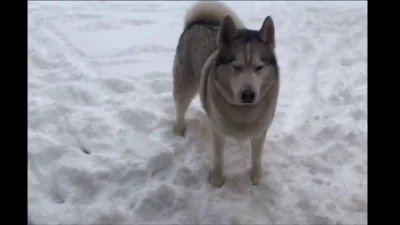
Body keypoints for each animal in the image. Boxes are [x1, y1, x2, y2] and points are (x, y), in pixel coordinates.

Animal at [173, 1, 282, 188]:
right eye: (236, 66)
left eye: (259, 67)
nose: (248, 95)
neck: (243, 113)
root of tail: (196, 23)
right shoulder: (218, 130)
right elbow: (218, 157)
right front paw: (217, 180)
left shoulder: (260, 131)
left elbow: (256, 156)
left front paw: (257, 178)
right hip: (185, 88)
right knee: (180, 110)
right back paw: (179, 132)